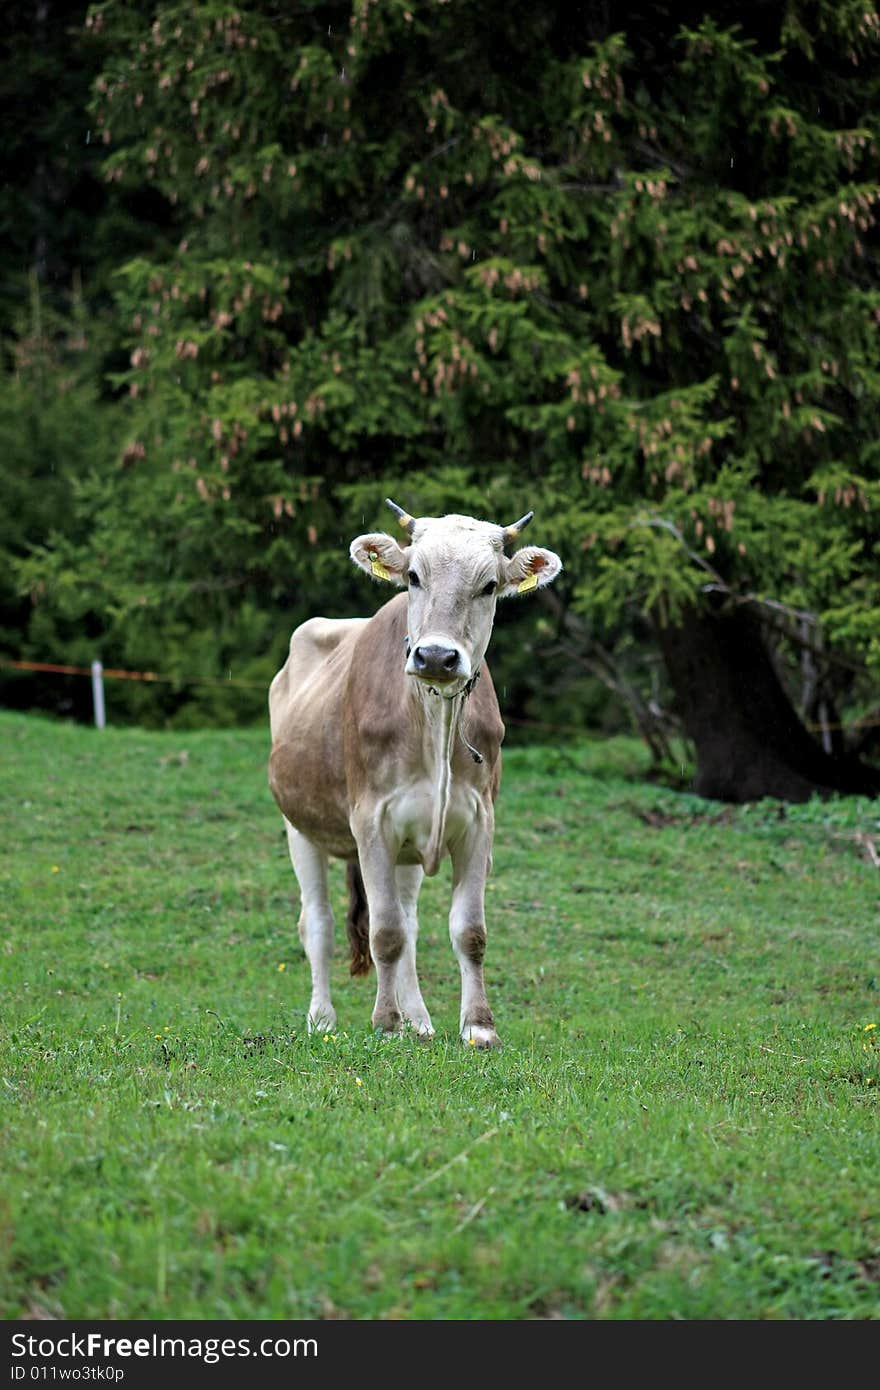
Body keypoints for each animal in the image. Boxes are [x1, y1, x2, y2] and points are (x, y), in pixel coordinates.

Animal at [264, 497, 561, 1045]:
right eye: (415, 577)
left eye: (490, 585)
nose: (437, 656)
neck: (433, 717)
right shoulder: (372, 822)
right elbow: (384, 932)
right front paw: (385, 1023)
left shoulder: (479, 822)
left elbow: (467, 931)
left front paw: (478, 1027)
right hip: (299, 827)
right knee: (317, 923)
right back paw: (323, 1018)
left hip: (406, 848)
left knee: (410, 922)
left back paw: (419, 1020)